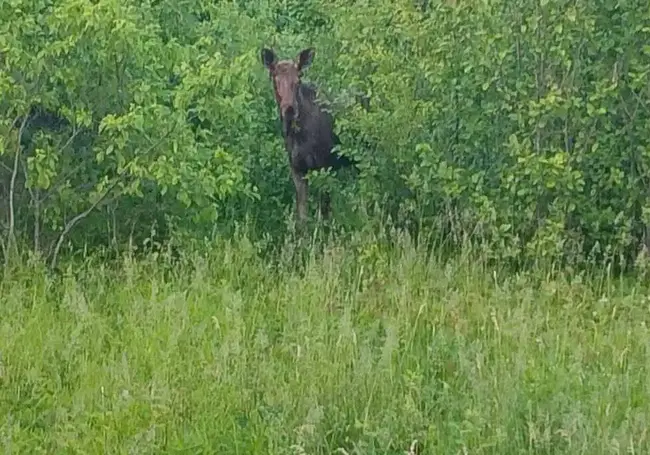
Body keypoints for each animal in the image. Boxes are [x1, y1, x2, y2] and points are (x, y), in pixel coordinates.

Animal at [260, 46, 354, 224]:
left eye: (298, 80)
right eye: (275, 79)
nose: (289, 109)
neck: (297, 134)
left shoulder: (325, 165)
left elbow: (324, 212)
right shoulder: (297, 169)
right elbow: (302, 215)